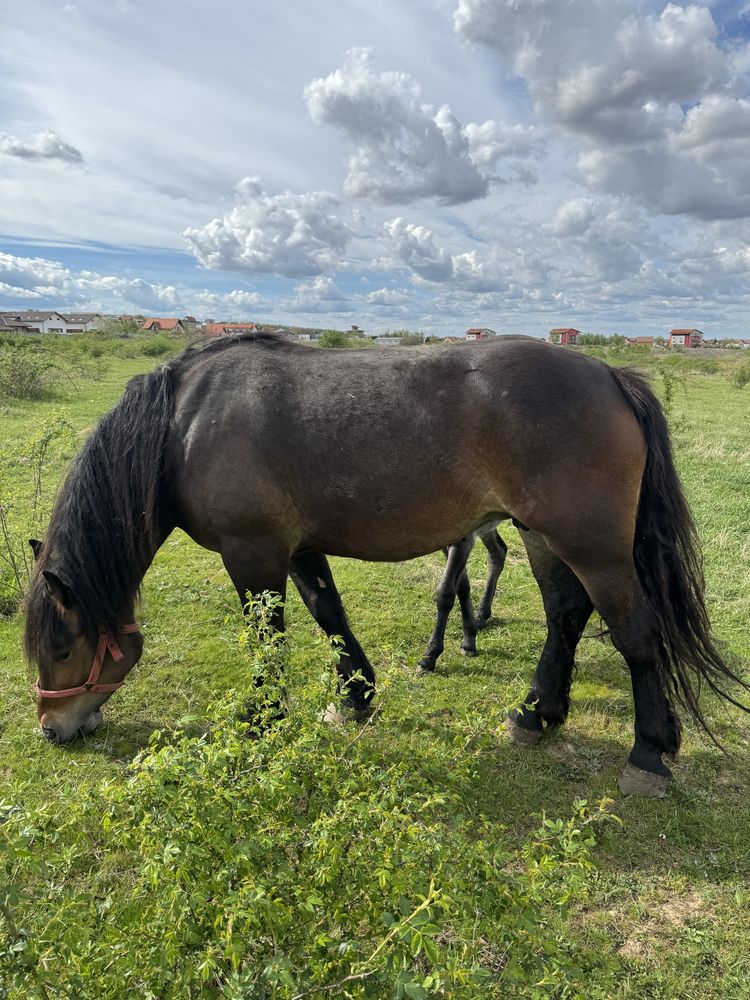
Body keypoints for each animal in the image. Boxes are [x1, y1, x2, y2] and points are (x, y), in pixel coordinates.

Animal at [23, 336, 748, 796]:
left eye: (59, 645)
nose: (53, 731)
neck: (186, 422)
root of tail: (609, 374)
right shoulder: (297, 547)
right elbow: (328, 615)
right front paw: (356, 698)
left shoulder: (252, 552)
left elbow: (268, 639)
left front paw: (261, 724)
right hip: (543, 536)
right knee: (565, 616)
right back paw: (535, 714)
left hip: (592, 545)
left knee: (636, 634)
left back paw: (648, 754)